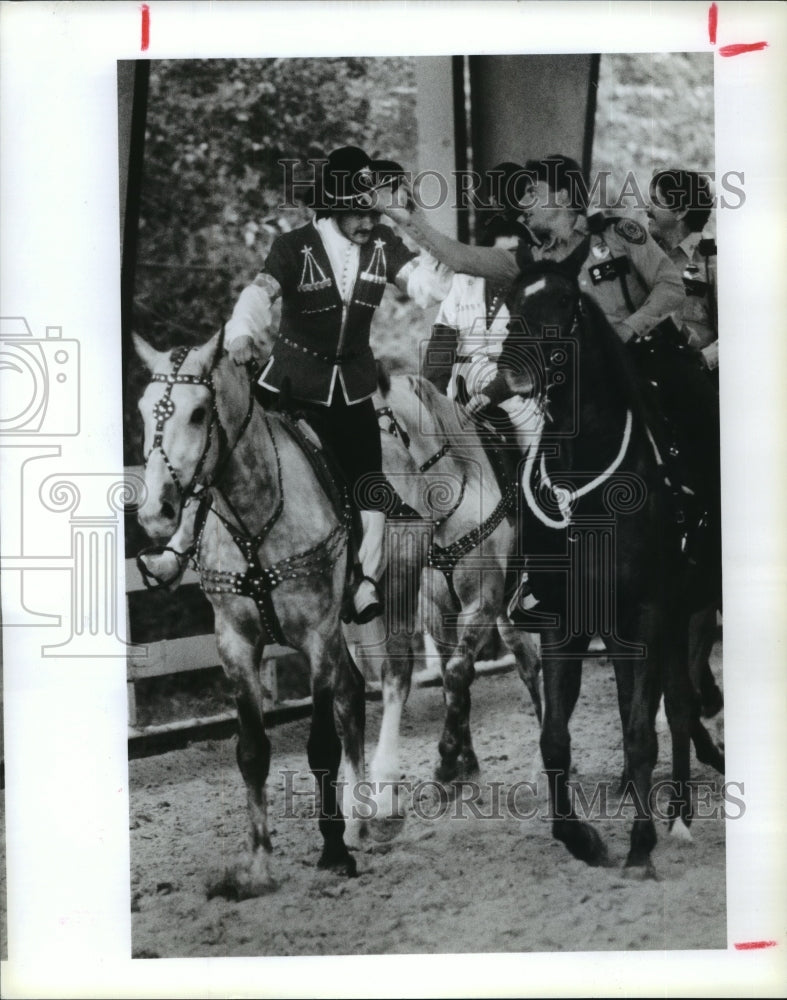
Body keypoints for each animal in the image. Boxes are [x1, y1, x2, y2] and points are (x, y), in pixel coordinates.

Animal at [498, 260, 728, 876]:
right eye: (510, 304)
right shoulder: (564, 620)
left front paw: (640, 846)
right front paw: (582, 838)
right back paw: (675, 810)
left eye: (566, 302)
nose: (512, 371)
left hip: (688, 610)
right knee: (673, 703)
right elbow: (555, 738)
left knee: (679, 705)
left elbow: (641, 730)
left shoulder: (647, 614)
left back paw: (677, 814)